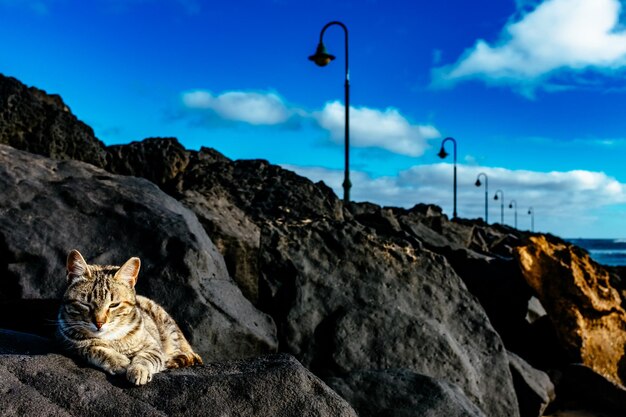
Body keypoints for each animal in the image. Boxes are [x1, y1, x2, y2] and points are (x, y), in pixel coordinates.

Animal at [56, 249, 202, 386]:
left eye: (114, 305)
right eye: (85, 304)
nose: (99, 323)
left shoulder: (152, 346)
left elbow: (146, 358)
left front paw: (138, 370)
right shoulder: (69, 344)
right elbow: (95, 349)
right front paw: (119, 361)